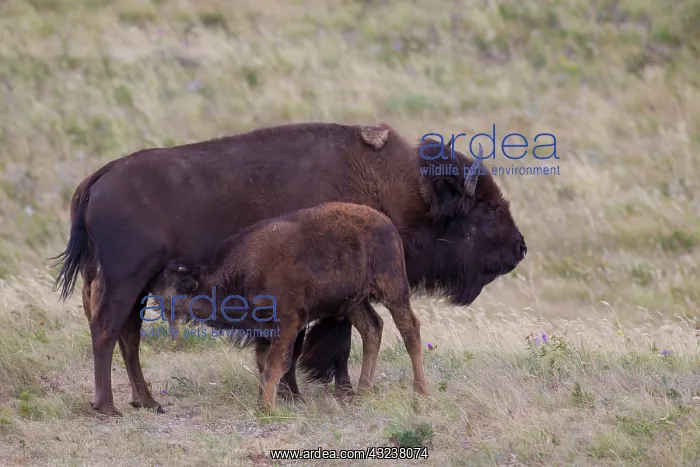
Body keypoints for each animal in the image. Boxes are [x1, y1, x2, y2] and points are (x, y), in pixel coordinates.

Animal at [148, 202, 429, 410]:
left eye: (172, 279)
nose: (150, 284)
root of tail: (385, 222)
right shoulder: (264, 331)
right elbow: (263, 365)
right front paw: (262, 402)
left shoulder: (287, 324)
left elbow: (275, 365)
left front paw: (266, 408)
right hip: (354, 302)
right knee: (372, 328)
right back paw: (363, 391)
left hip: (393, 290)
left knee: (410, 330)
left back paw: (420, 391)